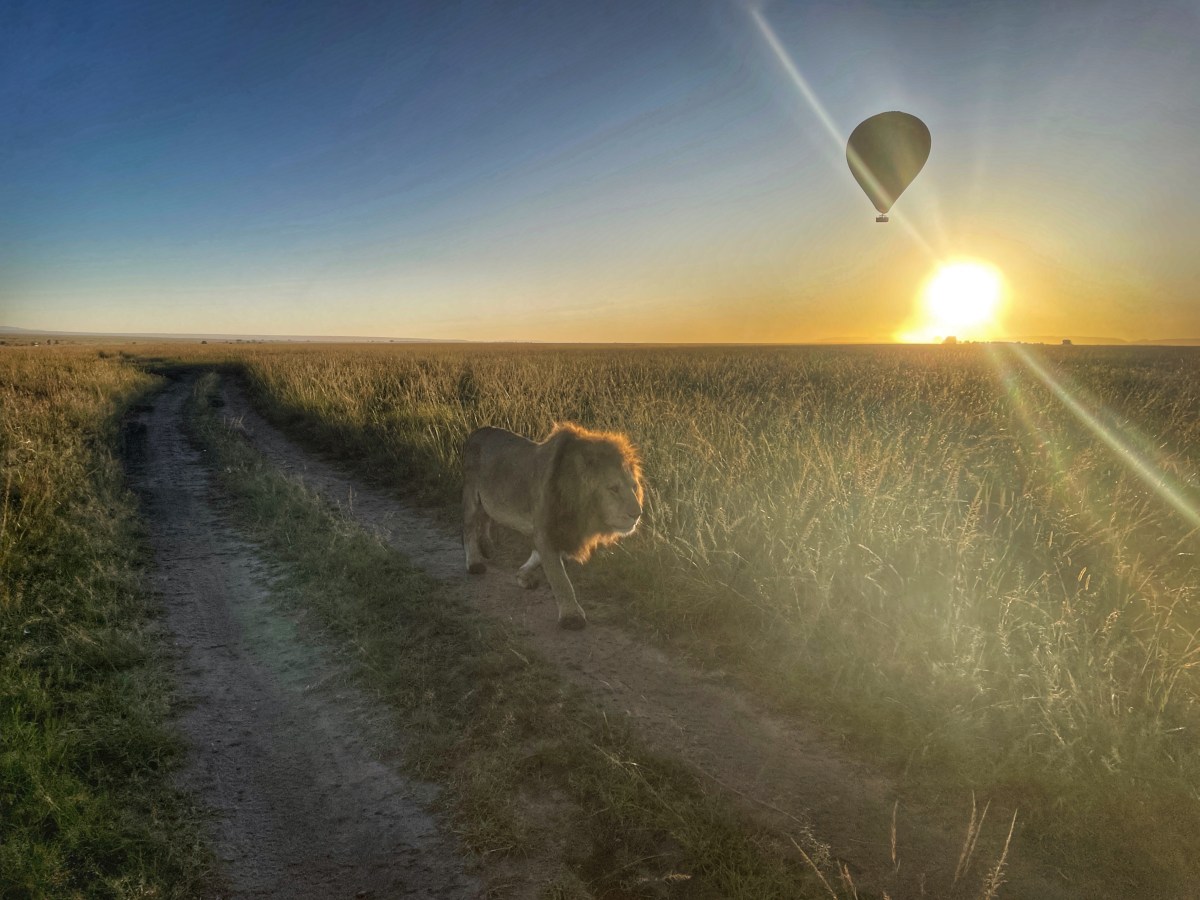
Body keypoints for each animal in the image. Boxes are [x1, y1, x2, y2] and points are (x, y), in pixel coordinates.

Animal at [462, 422, 644, 629]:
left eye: (634, 487)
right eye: (613, 488)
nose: (637, 514)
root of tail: (478, 431)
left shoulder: (563, 532)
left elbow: (539, 557)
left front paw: (522, 576)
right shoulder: (546, 530)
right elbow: (560, 578)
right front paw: (572, 616)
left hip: (487, 499)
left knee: (485, 517)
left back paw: (487, 548)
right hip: (471, 493)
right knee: (468, 528)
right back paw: (474, 562)